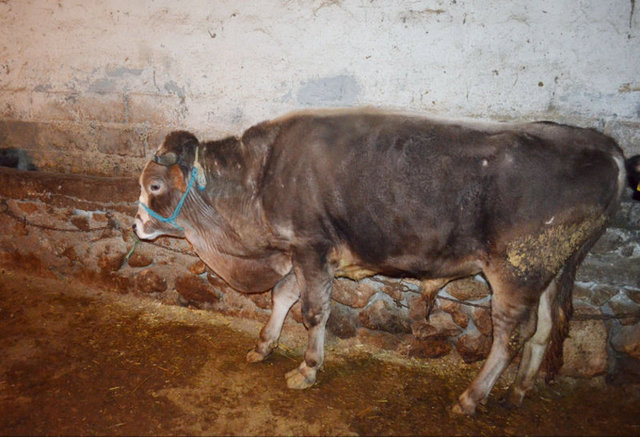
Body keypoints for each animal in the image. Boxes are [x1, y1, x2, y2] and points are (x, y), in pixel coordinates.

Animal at [133, 108, 628, 415]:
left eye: (155, 185)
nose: (136, 224)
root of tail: (605, 145)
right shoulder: (312, 252)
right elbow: (284, 294)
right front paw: (263, 345)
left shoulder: (310, 245)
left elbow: (313, 311)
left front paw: (307, 369)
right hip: (549, 267)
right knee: (543, 329)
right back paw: (518, 391)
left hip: (515, 269)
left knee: (510, 335)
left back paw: (471, 398)